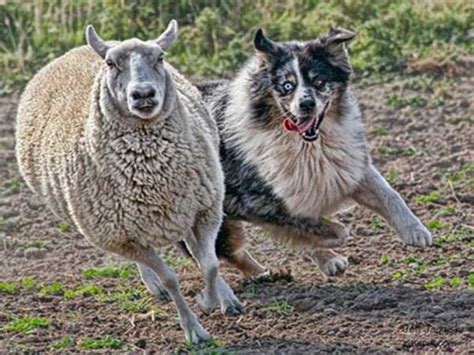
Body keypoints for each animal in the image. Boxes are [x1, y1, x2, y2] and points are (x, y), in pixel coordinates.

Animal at [16, 20, 243, 344]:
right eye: (111, 63)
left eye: (160, 57)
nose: (143, 94)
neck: (152, 172)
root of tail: (72, 51)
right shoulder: (123, 237)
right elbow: (170, 278)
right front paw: (194, 329)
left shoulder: (205, 208)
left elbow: (210, 264)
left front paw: (210, 299)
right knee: (152, 265)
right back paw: (154, 284)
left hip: (185, 208)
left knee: (199, 252)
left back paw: (225, 296)